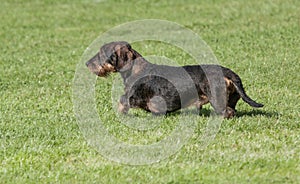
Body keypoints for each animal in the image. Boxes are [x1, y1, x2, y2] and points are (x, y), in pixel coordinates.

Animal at [86, 41, 262, 118]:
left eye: (101, 53)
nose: (87, 64)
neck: (136, 70)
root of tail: (228, 72)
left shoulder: (131, 97)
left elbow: (121, 103)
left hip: (217, 100)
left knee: (228, 112)